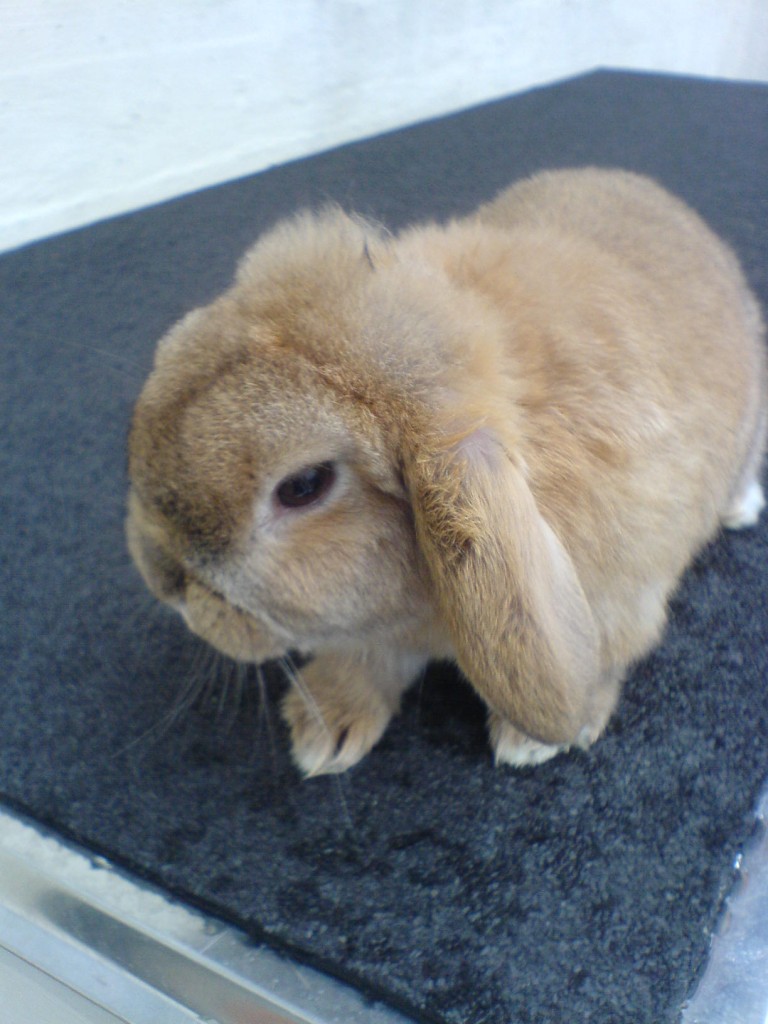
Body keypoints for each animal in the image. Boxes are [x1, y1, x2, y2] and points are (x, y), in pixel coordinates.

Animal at [127, 167, 767, 776]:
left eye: (303, 487)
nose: (162, 582)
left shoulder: (622, 596)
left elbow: (605, 660)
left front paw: (535, 740)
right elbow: (369, 660)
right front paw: (324, 728)